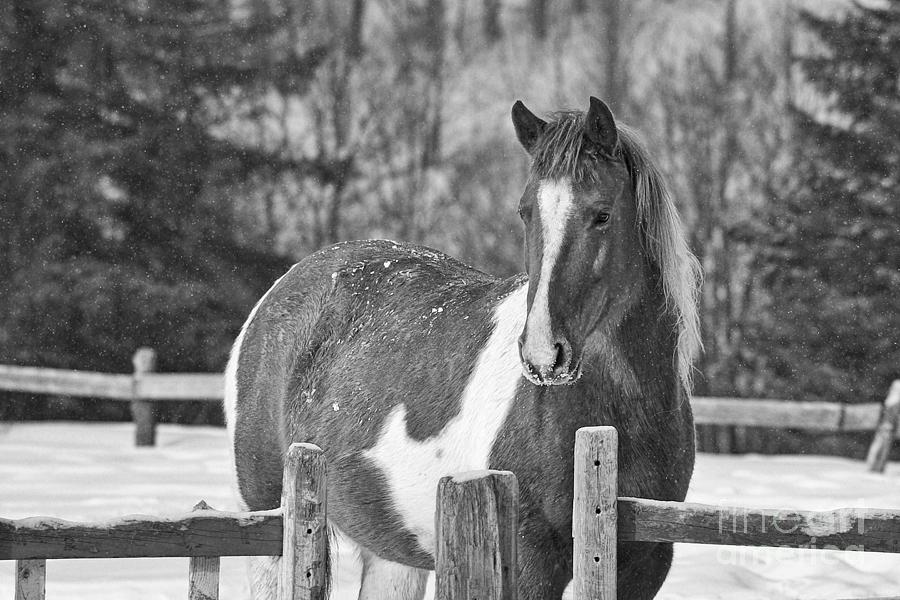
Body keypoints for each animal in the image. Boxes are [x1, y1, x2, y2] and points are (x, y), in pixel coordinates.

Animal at [227, 96, 704, 596]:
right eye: (525, 211)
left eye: (603, 214)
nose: (542, 355)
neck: (612, 418)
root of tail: (281, 291)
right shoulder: (530, 562)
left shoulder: (645, 565)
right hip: (268, 521)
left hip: (393, 556)